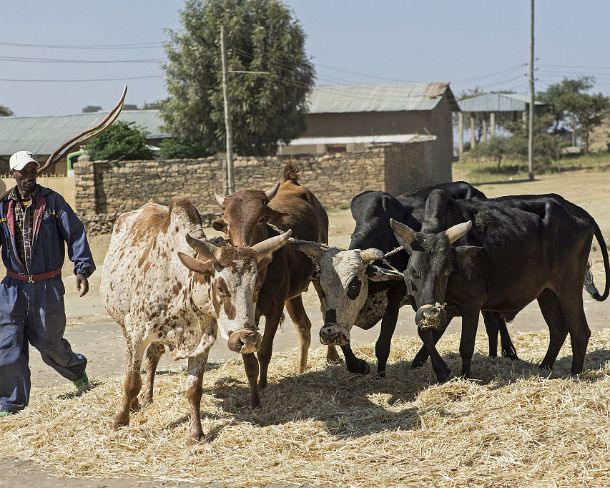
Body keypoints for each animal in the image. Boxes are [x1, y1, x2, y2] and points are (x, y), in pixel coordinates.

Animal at [213, 163, 338, 392]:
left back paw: (332, 356)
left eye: (261, 218)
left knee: (326, 311)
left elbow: (265, 350)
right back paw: (301, 368)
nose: (241, 255)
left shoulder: (275, 306)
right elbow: (249, 355)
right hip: (293, 294)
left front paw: (263, 385)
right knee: (303, 326)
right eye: (226, 223)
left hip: (318, 277)